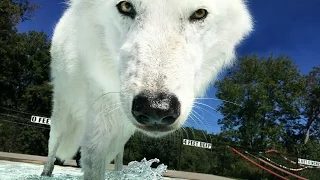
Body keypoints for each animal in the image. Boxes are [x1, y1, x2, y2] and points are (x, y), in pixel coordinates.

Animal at [42, 0, 252, 179]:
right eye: (126, 6)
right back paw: (46, 172)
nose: (156, 109)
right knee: (54, 144)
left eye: (199, 13)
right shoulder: (99, 115)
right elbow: (93, 162)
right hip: (63, 112)